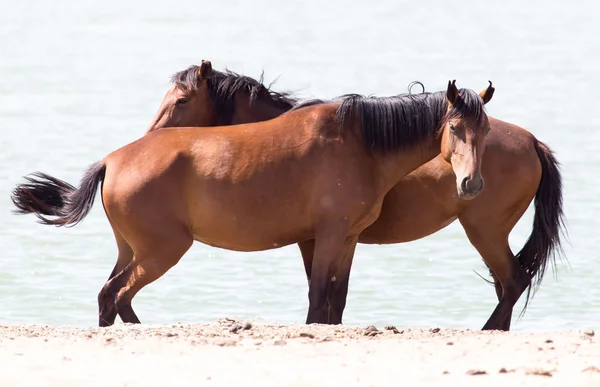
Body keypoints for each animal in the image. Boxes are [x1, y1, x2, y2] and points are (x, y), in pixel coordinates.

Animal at [11, 80, 494, 328]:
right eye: (454, 127)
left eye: (486, 130)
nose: (471, 183)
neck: (359, 143)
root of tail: (113, 159)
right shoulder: (327, 236)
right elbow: (319, 298)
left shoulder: (347, 239)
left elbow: (334, 300)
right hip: (161, 251)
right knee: (115, 295)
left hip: (133, 250)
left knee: (113, 297)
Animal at [143, 60, 564, 330]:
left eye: (181, 100)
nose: (149, 140)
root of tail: (533, 142)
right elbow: (336, 299)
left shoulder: (316, 239)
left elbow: (322, 296)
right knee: (508, 286)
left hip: (485, 232)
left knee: (513, 283)